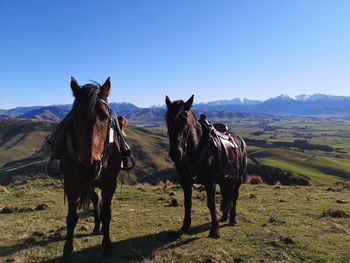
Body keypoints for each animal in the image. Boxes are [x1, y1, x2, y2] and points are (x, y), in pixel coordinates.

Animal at [60, 77, 129, 262]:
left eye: (105, 117)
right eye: (74, 117)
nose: (90, 167)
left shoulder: (110, 184)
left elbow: (107, 214)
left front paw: (106, 247)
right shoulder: (71, 183)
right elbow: (71, 217)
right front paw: (67, 250)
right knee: (94, 198)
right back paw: (97, 225)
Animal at [165, 95, 247, 239]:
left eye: (184, 121)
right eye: (167, 120)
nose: (175, 153)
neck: (197, 149)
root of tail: (241, 140)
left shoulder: (210, 182)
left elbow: (211, 203)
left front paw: (215, 230)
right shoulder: (185, 181)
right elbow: (187, 202)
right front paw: (185, 227)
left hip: (238, 178)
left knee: (235, 195)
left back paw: (232, 219)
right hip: (224, 180)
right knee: (227, 194)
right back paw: (225, 216)